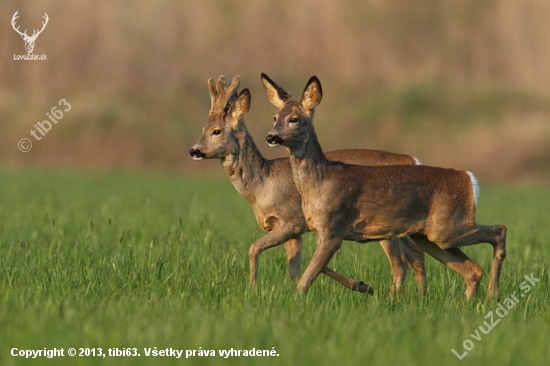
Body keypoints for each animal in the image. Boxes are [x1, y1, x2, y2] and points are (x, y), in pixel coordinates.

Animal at [190, 74, 426, 294]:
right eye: (202, 128)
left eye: (216, 131)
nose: (193, 150)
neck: (262, 186)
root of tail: (413, 160)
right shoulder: (293, 229)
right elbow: (297, 267)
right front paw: (360, 285)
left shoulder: (292, 220)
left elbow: (255, 248)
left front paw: (253, 288)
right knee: (416, 255)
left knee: (402, 263)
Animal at [264, 73, 508, 298]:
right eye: (275, 117)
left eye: (294, 119)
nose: (271, 137)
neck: (320, 181)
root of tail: (469, 179)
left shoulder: (333, 228)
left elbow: (306, 277)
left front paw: (297, 300)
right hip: (429, 236)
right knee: (473, 269)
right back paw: (470, 301)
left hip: (448, 228)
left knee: (499, 231)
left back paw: (492, 294)